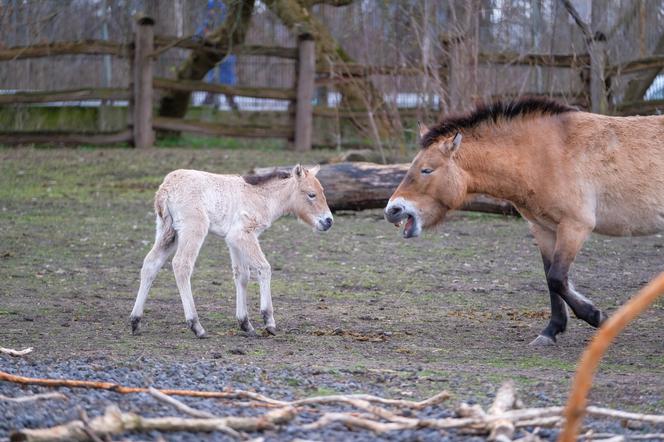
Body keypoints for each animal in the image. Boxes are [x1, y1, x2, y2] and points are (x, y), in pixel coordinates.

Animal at [129, 164, 332, 336]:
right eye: (311, 194)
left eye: (322, 192)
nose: (328, 221)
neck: (261, 197)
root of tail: (166, 188)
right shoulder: (243, 234)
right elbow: (263, 268)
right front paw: (269, 321)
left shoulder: (234, 240)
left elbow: (242, 275)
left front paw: (245, 324)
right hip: (193, 228)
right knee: (181, 265)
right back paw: (196, 325)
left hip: (168, 232)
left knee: (151, 263)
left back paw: (135, 321)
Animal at [384, 97, 664, 346]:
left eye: (427, 170)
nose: (393, 210)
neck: (545, 155)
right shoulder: (543, 228)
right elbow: (551, 280)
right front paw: (551, 331)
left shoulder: (576, 226)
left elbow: (557, 278)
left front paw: (599, 317)